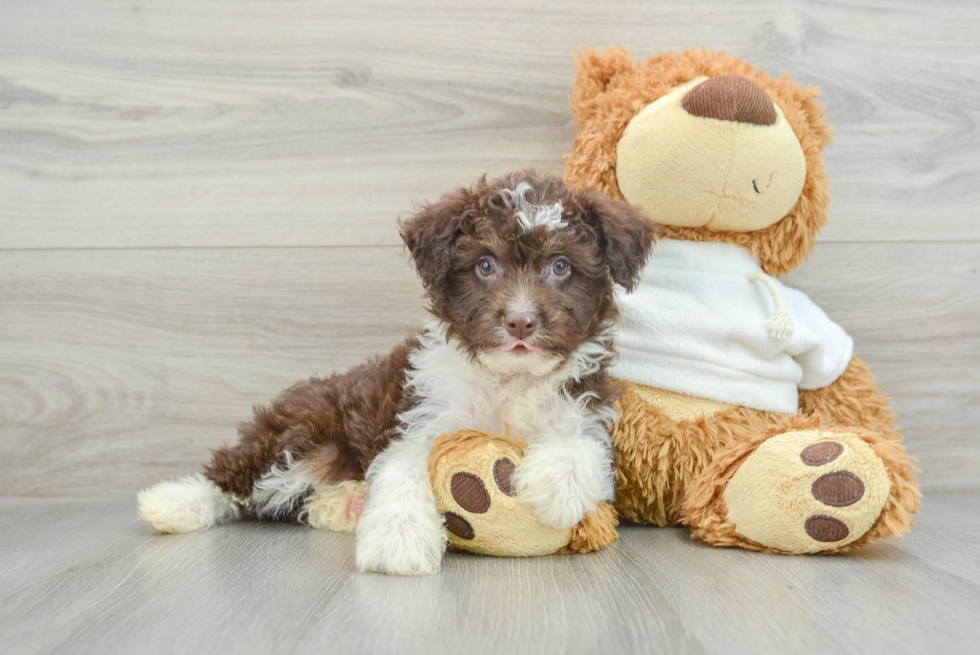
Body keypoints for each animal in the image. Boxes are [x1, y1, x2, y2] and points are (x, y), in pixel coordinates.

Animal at [138, 172, 656, 576]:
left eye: (561, 266)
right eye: (485, 265)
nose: (520, 322)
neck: (509, 379)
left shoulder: (586, 409)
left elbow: (585, 451)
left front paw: (551, 486)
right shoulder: (418, 420)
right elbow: (403, 472)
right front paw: (398, 541)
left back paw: (344, 504)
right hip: (302, 428)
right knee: (235, 477)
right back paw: (175, 502)